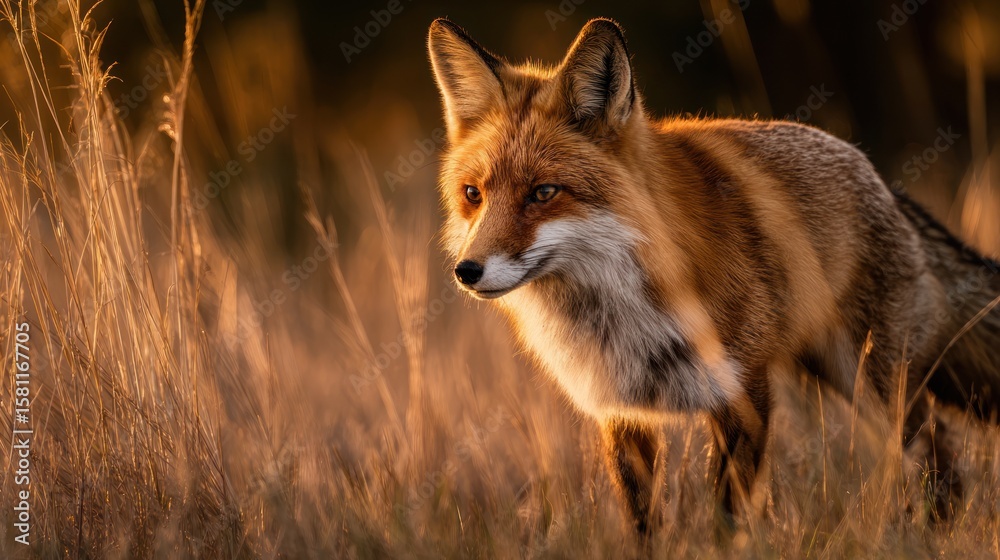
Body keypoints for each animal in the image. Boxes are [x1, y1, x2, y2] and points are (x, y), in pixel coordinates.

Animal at [427, 17, 1000, 533]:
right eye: (474, 195)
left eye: (543, 193)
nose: (467, 271)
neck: (622, 308)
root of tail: (879, 176)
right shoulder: (621, 410)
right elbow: (644, 523)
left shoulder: (743, 391)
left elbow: (726, 516)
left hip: (871, 380)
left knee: (938, 447)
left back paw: (932, 532)